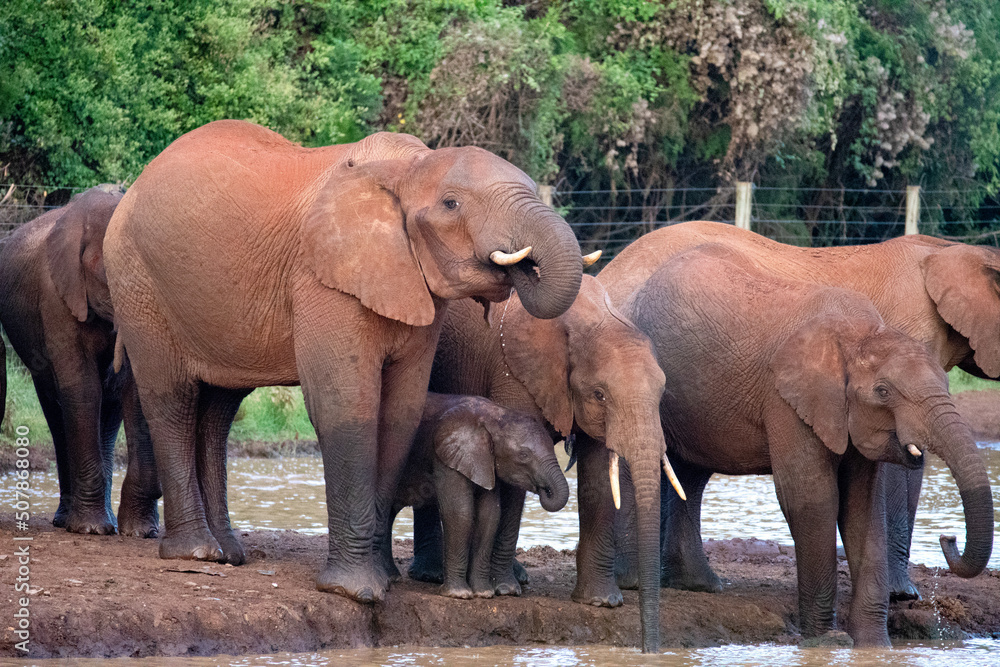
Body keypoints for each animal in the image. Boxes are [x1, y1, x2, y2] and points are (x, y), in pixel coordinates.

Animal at [0, 187, 159, 536]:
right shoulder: (54, 295)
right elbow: (83, 390)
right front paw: (90, 530)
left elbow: (135, 393)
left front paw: (141, 533)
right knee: (57, 407)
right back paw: (69, 522)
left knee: (109, 412)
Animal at [101, 118, 584, 604]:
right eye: (452, 204)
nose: (523, 266)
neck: (406, 167)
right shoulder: (323, 278)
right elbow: (347, 404)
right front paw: (355, 591)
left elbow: (401, 411)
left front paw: (384, 578)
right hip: (137, 281)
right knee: (173, 401)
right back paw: (196, 553)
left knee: (218, 411)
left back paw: (228, 553)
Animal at [414, 276, 680, 652]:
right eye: (600, 395)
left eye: (662, 395)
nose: (649, 651)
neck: (591, 318)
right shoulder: (513, 374)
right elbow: (512, 477)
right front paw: (504, 591)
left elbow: (599, 480)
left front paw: (601, 602)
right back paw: (438, 575)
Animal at [608, 244, 992, 648]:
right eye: (883, 392)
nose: (947, 537)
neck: (858, 335)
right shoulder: (787, 398)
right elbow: (813, 499)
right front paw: (825, 641)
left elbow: (863, 506)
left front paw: (874, 646)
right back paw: (633, 582)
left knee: (692, 474)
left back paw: (701, 585)